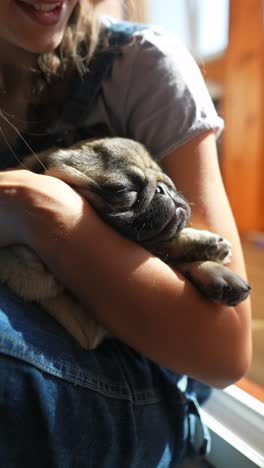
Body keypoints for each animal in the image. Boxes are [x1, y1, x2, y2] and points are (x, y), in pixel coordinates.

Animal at [0, 137, 252, 350]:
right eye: (124, 190)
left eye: (169, 181)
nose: (165, 189)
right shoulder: (89, 324)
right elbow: (157, 249)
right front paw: (203, 248)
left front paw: (209, 260)